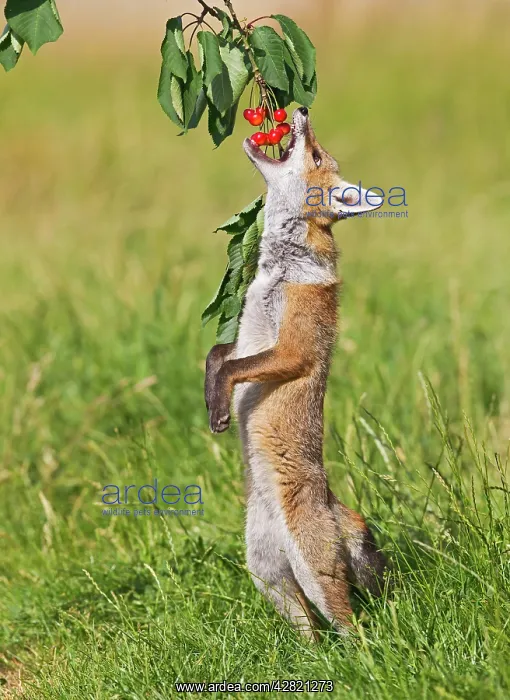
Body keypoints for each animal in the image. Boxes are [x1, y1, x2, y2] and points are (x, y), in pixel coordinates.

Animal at [205, 106, 387, 637]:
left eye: (317, 155)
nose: (301, 110)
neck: (278, 271)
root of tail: (332, 502)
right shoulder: (245, 335)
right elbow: (217, 357)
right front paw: (209, 401)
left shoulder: (294, 350)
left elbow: (234, 369)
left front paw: (220, 411)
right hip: (270, 578)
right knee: (312, 635)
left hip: (314, 573)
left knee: (352, 629)